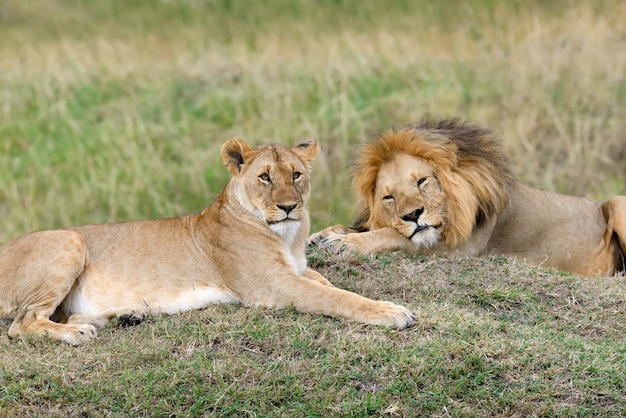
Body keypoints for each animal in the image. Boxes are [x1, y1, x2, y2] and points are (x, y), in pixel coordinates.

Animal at [2, 139, 416, 344]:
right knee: (22, 323)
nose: (288, 207)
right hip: (68, 240)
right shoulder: (273, 286)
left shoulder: (298, 271)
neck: (289, 236)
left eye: (296, 174)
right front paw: (392, 311)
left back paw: (125, 315)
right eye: (265, 177)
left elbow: (328, 284)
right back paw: (78, 333)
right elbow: (336, 297)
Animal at [308, 119, 624, 276]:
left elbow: (392, 236)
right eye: (389, 197)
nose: (413, 215)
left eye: (422, 181)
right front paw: (322, 235)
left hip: (618, 201)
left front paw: (344, 243)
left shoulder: (460, 248)